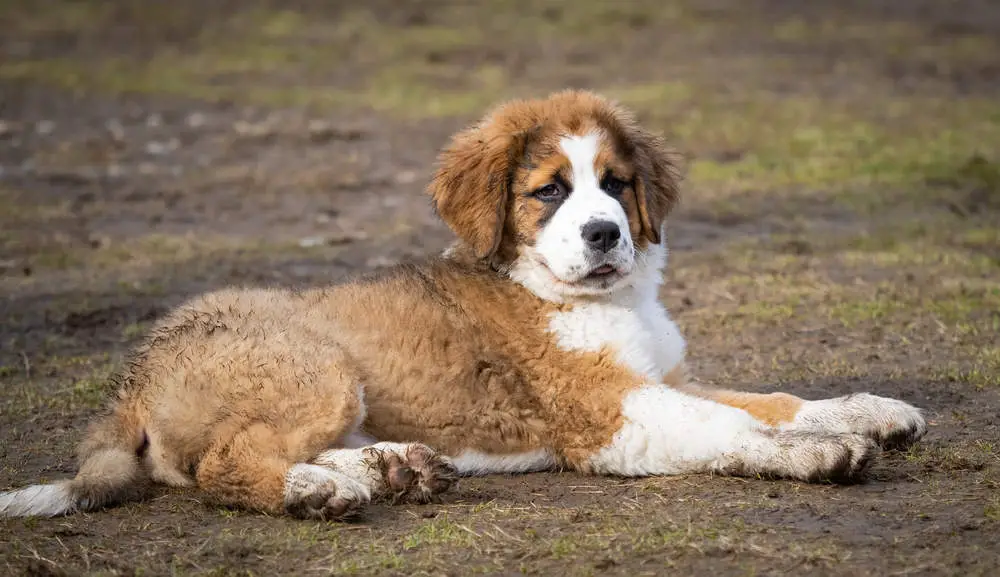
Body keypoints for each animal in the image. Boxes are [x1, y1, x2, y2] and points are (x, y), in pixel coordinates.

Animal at [0, 91, 924, 520]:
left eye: (617, 184)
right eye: (550, 191)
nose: (604, 233)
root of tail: (136, 371)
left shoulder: (658, 381)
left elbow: (773, 398)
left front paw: (870, 409)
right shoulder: (608, 412)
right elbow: (734, 424)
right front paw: (817, 453)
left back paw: (383, 467)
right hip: (315, 364)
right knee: (225, 466)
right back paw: (315, 490)